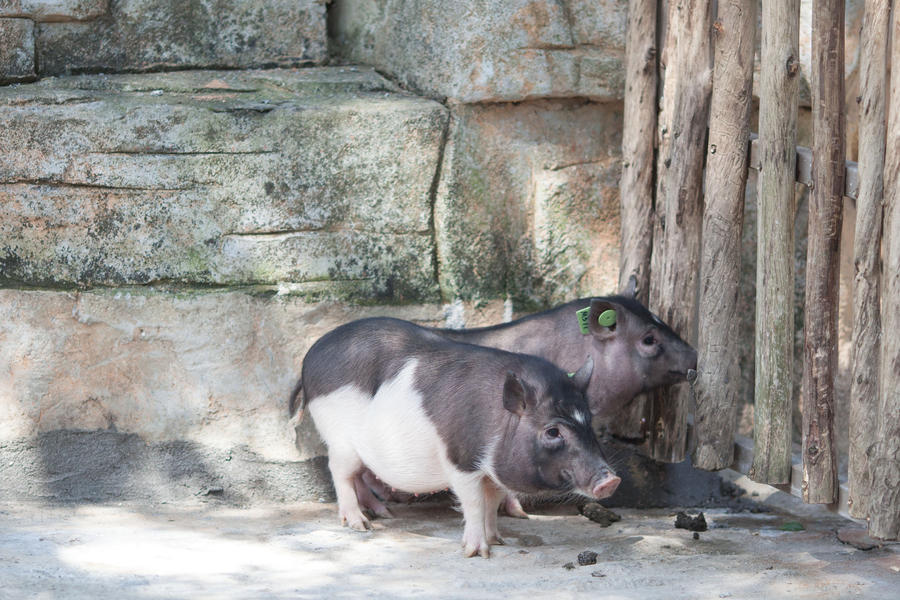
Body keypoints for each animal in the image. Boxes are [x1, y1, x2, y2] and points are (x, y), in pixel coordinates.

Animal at [296, 318, 620, 556]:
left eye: (589, 421)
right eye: (553, 431)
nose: (611, 480)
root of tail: (309, 356)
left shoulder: (493, 471)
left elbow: (492, 502)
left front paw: (498, 540)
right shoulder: (462, 462)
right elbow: (474, 503)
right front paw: (477, 552)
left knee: (362, 476)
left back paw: (383, 515)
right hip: (340, 440)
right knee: (341, 473)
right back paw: (360, 525)